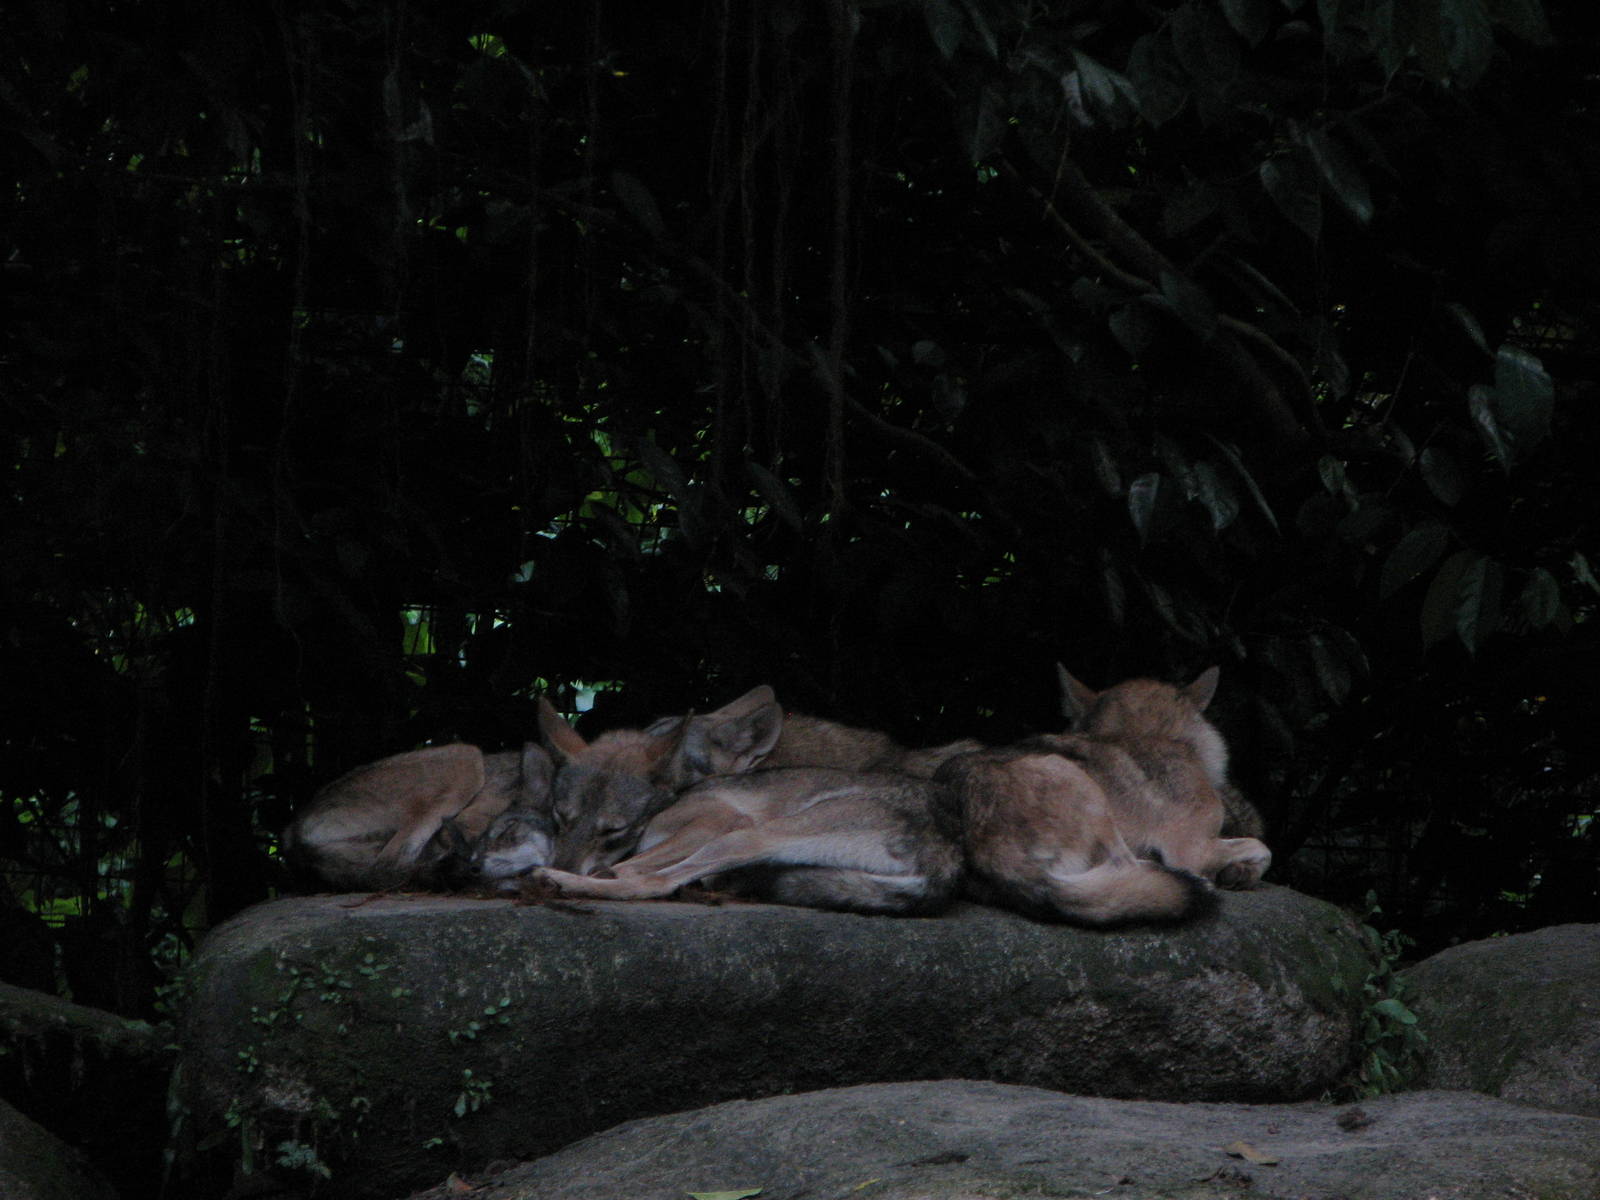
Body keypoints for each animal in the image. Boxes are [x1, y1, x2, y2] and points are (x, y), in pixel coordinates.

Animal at [529, 767, 964, 915]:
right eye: (560, 821)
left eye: (611, 830)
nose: (566, 861)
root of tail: (947, 856)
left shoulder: (720, 820)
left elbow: (635, 866)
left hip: (748, 835)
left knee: (651, 882)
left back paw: (561, 881)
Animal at [937, 666, 1272, 927]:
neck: (1154, 735)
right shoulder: (1192, 850)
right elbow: (1263, 849)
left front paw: (1238, 874)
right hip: (1085, 791)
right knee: (1128, 868)